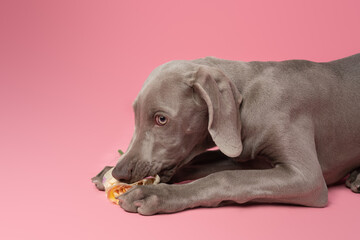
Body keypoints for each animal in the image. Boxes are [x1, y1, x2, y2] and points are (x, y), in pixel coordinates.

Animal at [91, 54, 358, 216]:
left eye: (161, 119)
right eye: (135, 115)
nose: (120, 172)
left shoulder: (306, 177)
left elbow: (224, 178)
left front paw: (153, 195)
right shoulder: (246, 156)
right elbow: (204, 163)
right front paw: (108, 173)